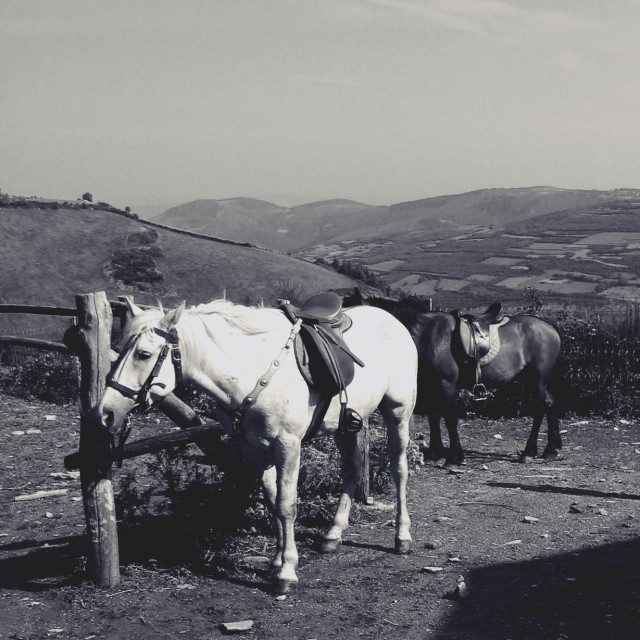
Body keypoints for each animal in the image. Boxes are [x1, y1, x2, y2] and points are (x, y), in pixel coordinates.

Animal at [95, 298, 416, 592]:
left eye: (143, 354)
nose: (105, 413)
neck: (251, 370)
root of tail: (392, 320)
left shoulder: (288, 445)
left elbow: (287, 505)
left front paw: (286, 572)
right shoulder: (253, 449)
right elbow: (273, 504)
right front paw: (276, 562)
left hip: (397, 414)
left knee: (399, 470)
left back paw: (402, 537)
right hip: (345, 426)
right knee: (351, 470)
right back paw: (333, 534)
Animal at [344, 290, 560, 464]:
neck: (425, 335)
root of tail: (552, 329)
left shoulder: (445, 383)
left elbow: (450, 417)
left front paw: (455, 456)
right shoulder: (429, 384)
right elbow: (433, 416)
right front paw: (435, 453)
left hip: (537, 379)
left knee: (540, 409)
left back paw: (529, 452)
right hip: (532, 380)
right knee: (550, 404)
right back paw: (552, 449)